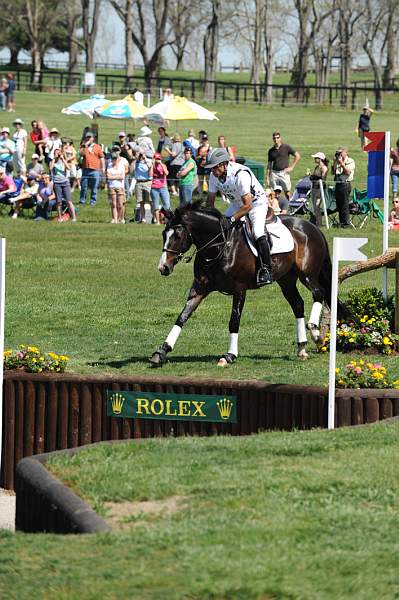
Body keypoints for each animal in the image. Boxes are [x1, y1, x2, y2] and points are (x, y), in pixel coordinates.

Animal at [148, 204, 348, 368]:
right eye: (164, 234)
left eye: (178, 235)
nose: (163, 268)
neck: (219, 247)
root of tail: (313, 227)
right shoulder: (199, 290)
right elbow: (182, 317)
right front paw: (162, 351)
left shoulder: (239, 289)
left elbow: (234, 321)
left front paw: (229, 355)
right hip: (286, 280)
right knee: (298, 304)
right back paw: (302, 348)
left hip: (307, 274)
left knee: (318, 293)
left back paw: (315, 332)